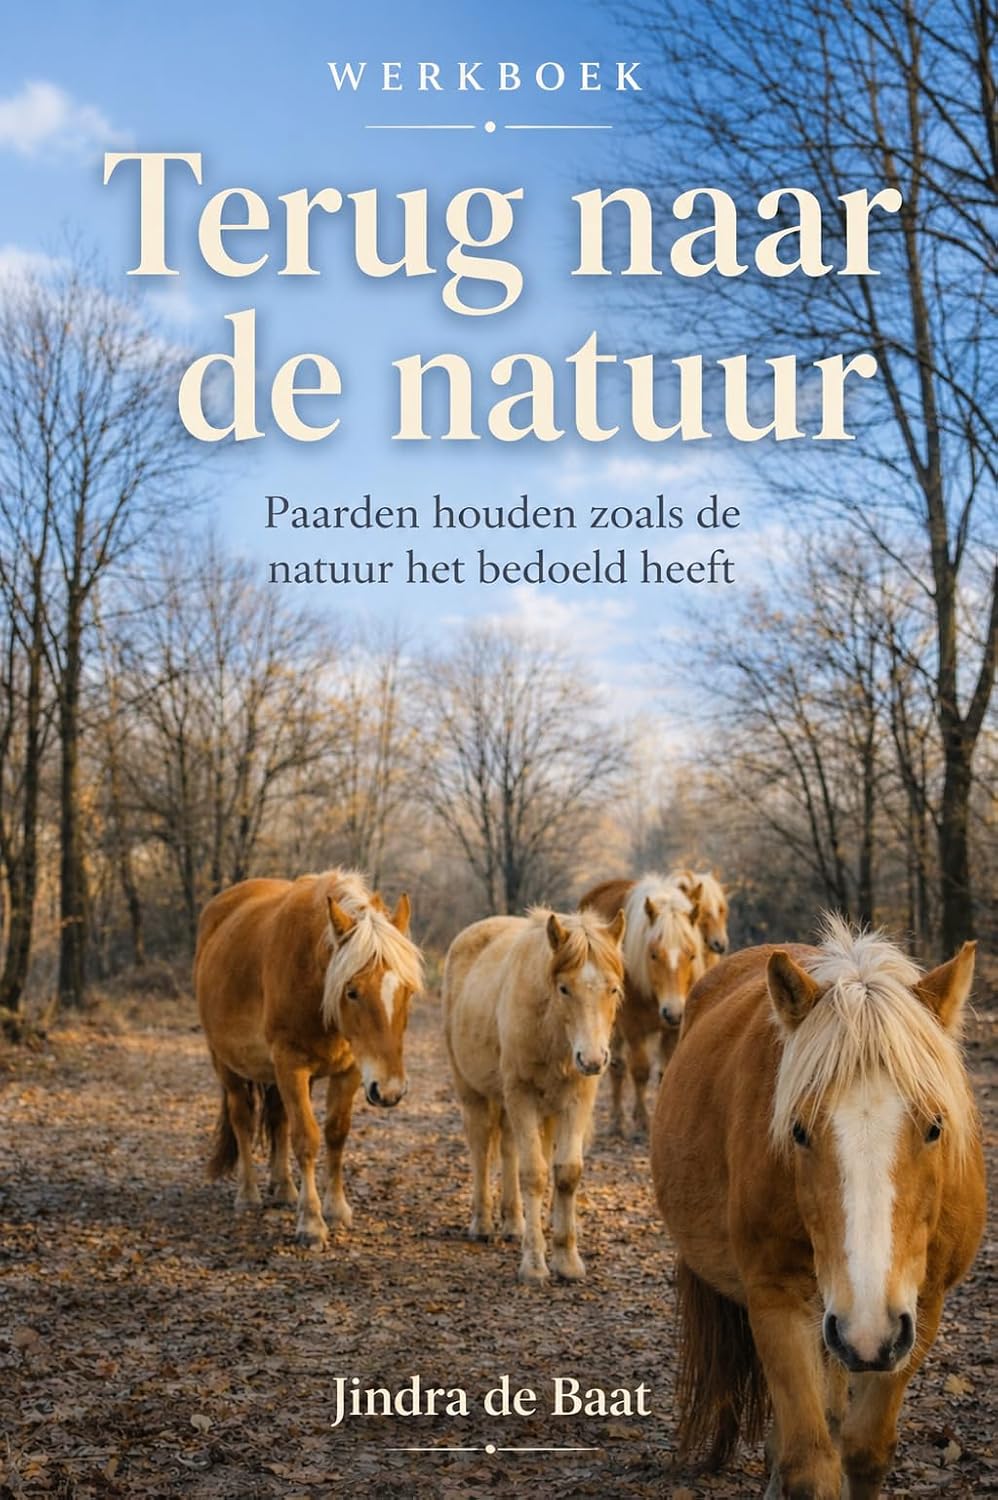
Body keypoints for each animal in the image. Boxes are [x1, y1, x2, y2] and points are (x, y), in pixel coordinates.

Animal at [195, 869, 424, 1249]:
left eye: (406, 991)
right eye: (352, 991)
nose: (390, 1091)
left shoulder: (350, 1070)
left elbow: (335, 1133)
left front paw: (336, 1208)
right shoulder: (291, 1065)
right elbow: (306, 1138)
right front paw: (312, 1223)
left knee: (278, 1119)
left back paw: (285, 1190)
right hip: (226, 1063)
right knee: (243, 1119)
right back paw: (248, 1194)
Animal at [442, 906, 626, 1284]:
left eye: (613, 989)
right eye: (564, 988)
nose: (593, 1059)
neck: (552, 1030)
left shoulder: (575, 1101)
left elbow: (566, 1173)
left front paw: (567, 1260)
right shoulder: (521, 1094)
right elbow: (534, 1174)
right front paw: (535, 1264)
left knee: (509, 1147)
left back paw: (514, 1223)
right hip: (473, 1091)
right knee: (481, 1147)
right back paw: (483, 1223)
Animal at [580, 873, 705, 1135]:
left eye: (691, 955)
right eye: (654, 954)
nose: (673, 1012)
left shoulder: (673, 1030)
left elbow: (666, 1072)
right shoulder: (632, 1026)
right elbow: (640, 1071)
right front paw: (642, 1122)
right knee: (617, 1067)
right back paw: (617, 1121)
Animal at [651, 916, 984, 1499]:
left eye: (935, 1127)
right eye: (799, 1131)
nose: (869, 1330)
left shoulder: (918, 1310)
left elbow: (865, 1450)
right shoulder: (776, 1301)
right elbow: (809, 1462)